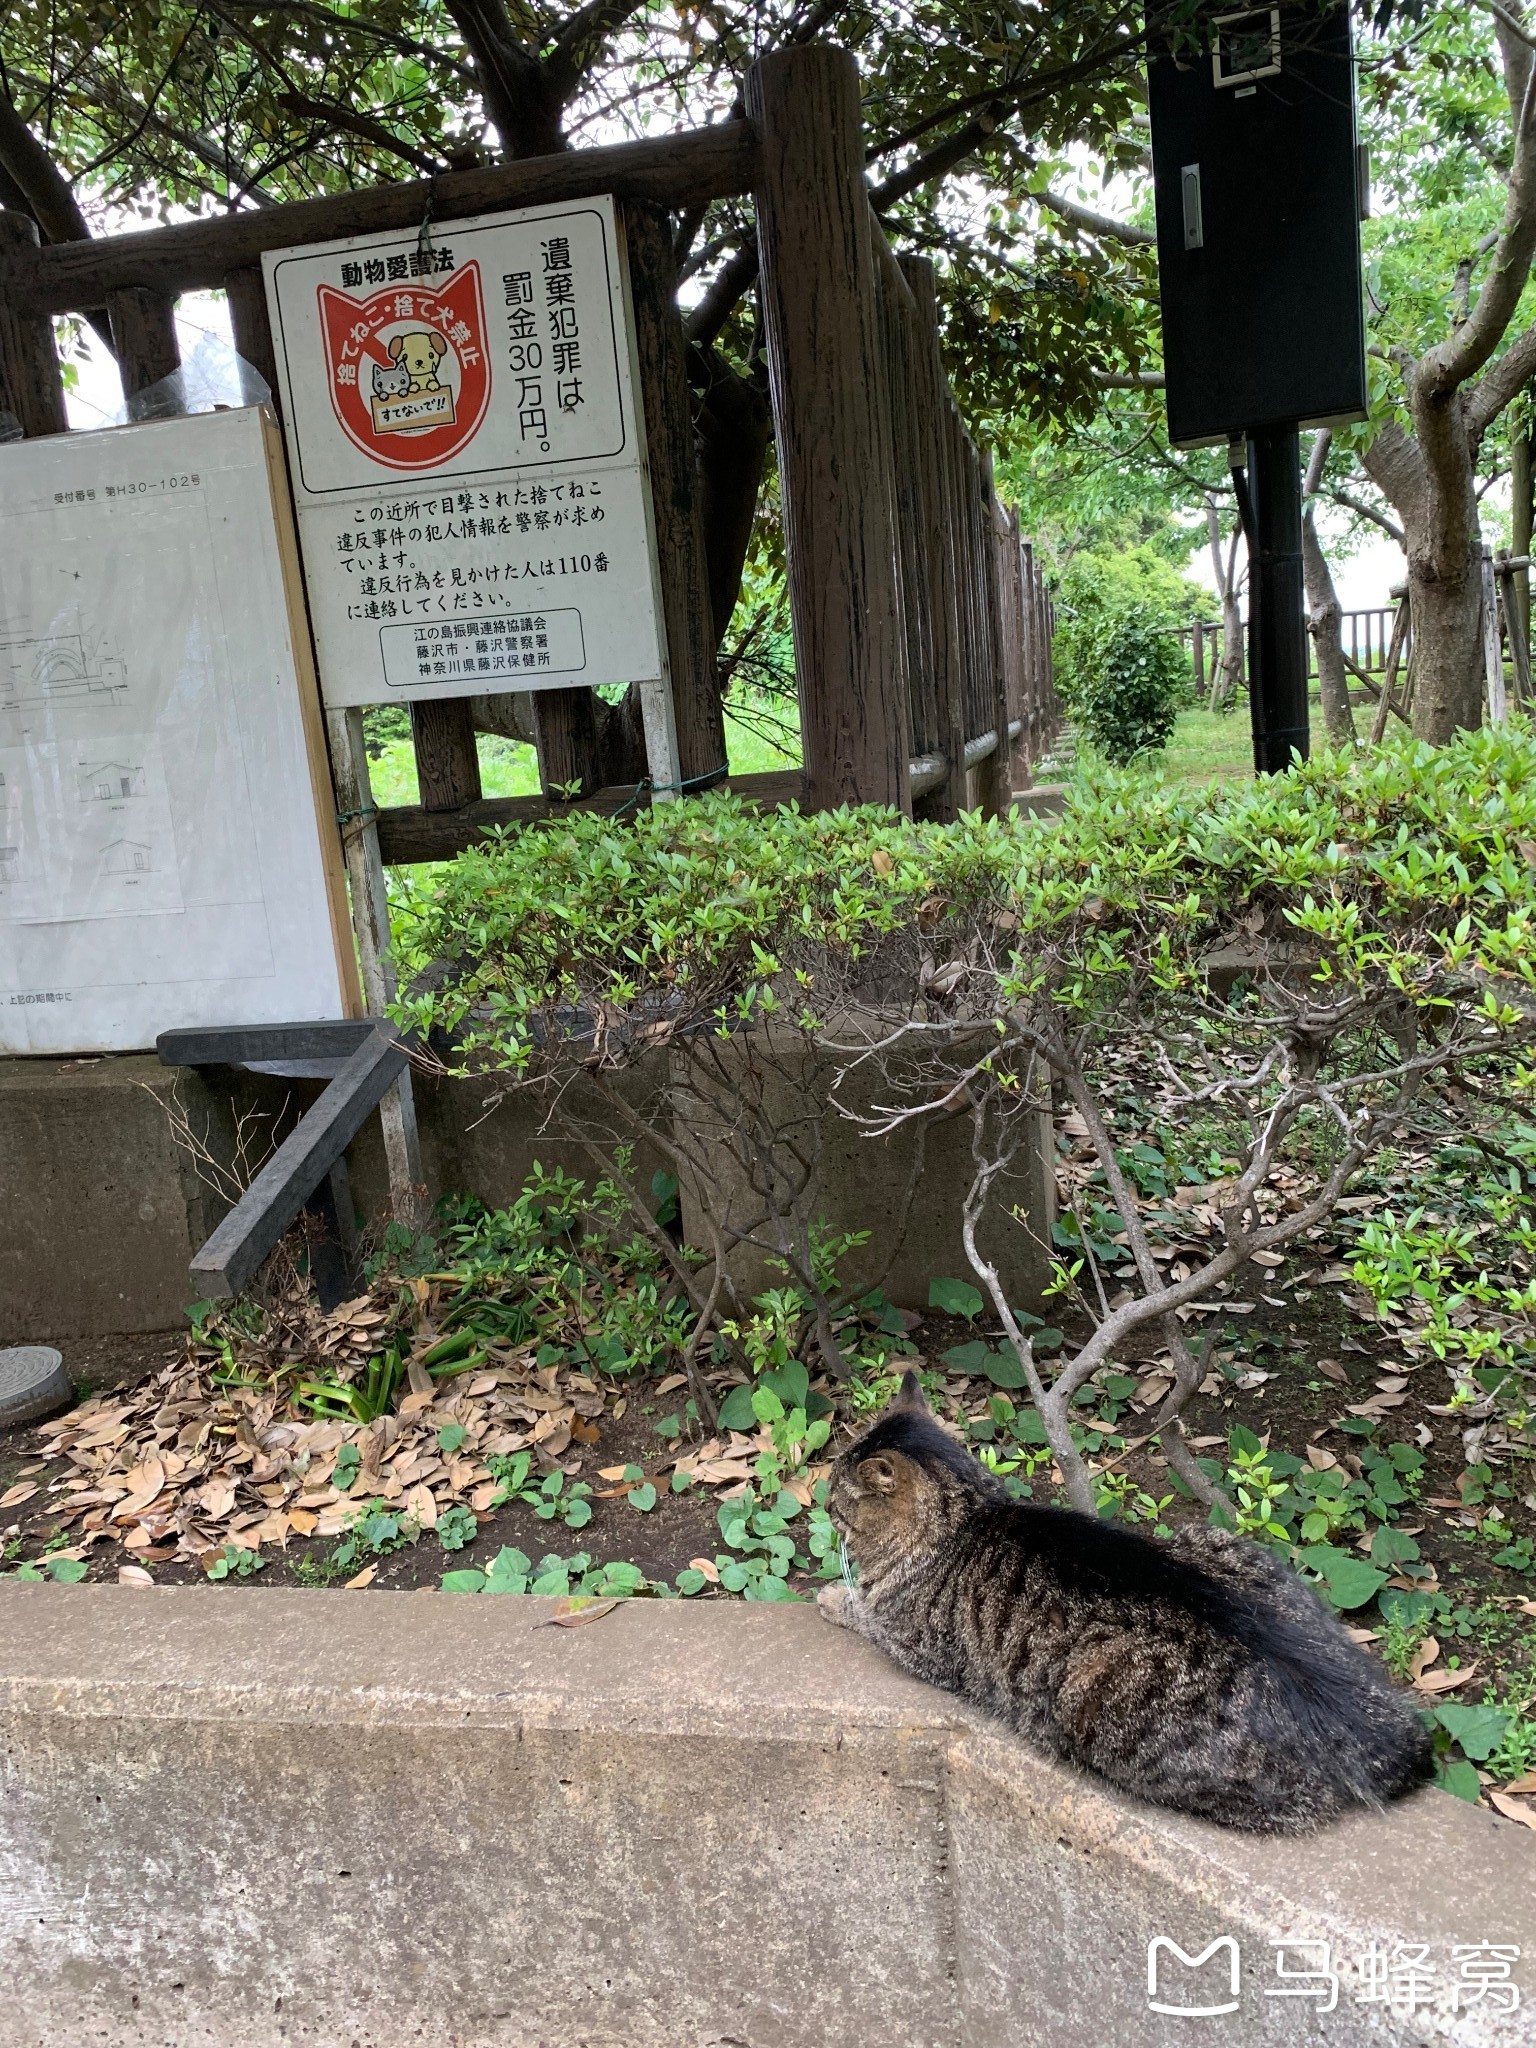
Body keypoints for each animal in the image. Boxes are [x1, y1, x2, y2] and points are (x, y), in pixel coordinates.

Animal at [823, 1376, 1441, 1826]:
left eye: (834, 1498)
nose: (823, 1506)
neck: (966, 1519)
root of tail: (1374, 1728)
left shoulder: (915, 1643)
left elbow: (862, 1609)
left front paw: (832, 1595)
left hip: (1097, 1707)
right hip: (1227, 1545)